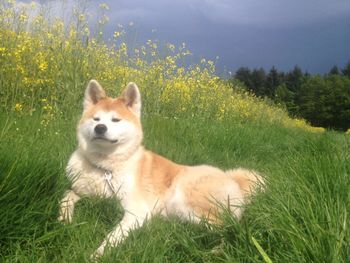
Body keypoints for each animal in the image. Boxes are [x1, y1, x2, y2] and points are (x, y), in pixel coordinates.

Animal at [58, 80, 264, 258]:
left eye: (116, 120)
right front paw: (64, 219)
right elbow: (66, 195)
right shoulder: (84, 191)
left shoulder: (136, 211)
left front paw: (97, 254)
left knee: (229, 227)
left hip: (182, 200)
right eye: (96, 119)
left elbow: (113, 236)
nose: (100, 128)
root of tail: (233, 180)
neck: (105, 167)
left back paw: (216, 250)